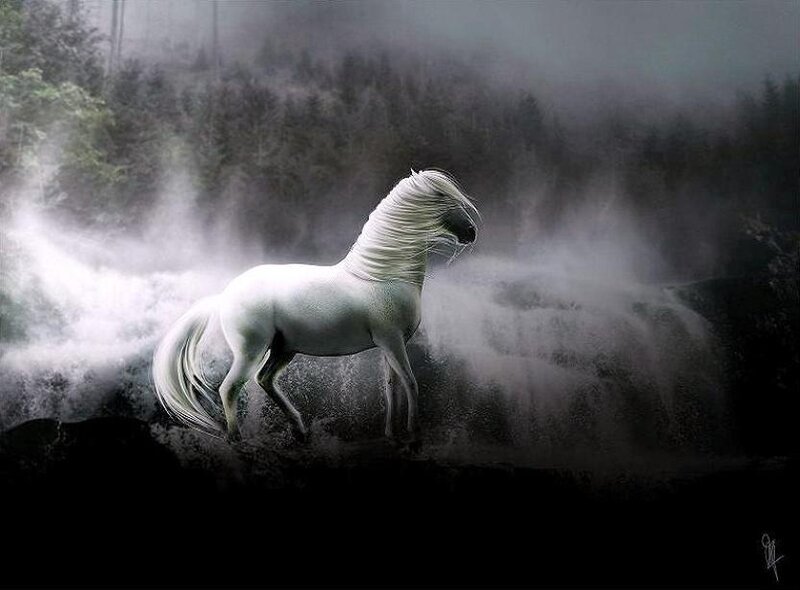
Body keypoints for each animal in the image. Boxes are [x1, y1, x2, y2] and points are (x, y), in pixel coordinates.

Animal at [152, 169, 478, 447]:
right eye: (446, 199)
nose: (471, 233)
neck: (382, 274)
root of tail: (224, 295)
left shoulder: (390, 345)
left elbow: (392, 387)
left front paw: (393, 436)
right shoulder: (392, 341)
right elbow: (411, 383)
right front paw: (414, 437)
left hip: (284, 349)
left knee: (265, 380)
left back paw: (300, 431)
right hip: (251, 351)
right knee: (229, 388)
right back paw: (236, 440)